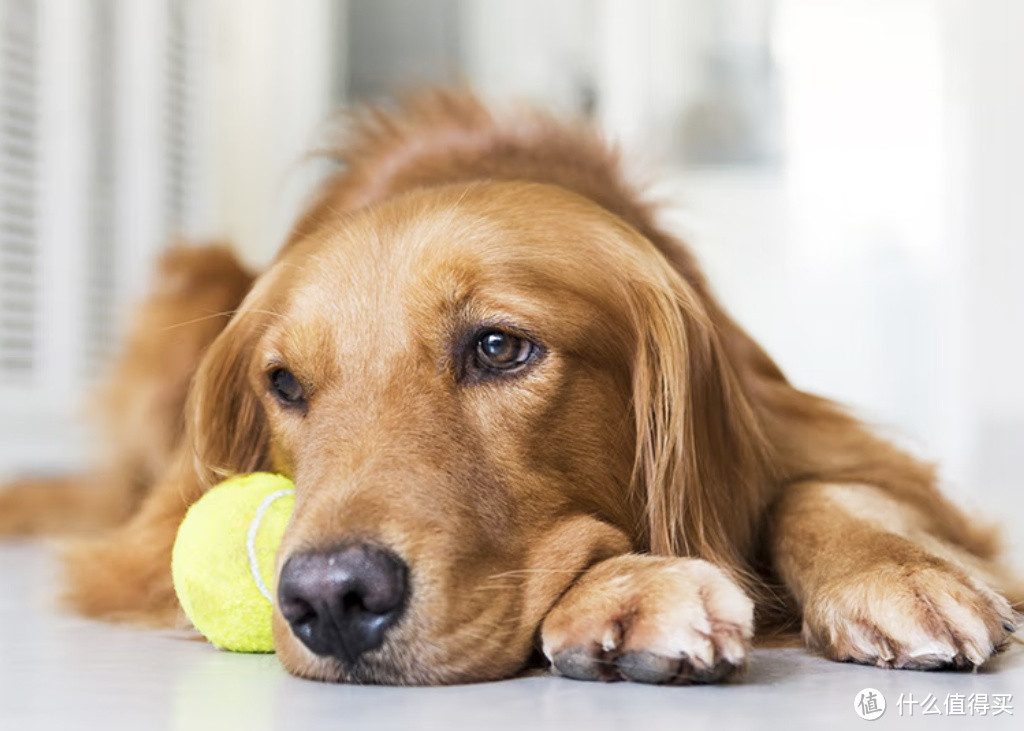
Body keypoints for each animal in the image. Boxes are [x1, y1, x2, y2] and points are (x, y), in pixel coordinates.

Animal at [0, 89, 1015, 683]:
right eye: (285, 383)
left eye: (497, 347)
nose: (331, 600)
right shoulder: (140, 545)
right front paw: (629, 586)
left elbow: (829, 488)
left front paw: (896, 569)